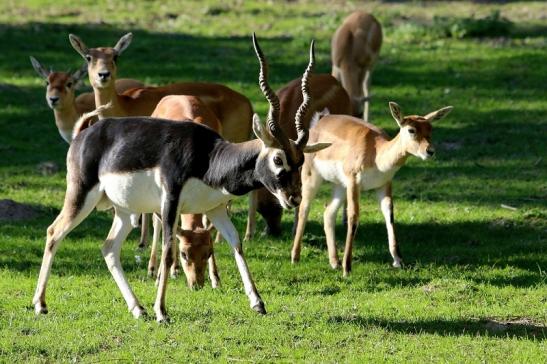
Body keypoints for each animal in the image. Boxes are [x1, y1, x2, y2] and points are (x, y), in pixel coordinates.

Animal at [35, 34, 334, 322]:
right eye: (278, 159)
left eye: (300, 161)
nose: (294, 198)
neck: (209, 159)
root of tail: (82, 135)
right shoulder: (170, 202)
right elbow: (168, 252)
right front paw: (161, 311)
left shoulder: (215, 208)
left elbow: (236, 244)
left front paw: (258, 303)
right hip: (81, 196)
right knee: (53, 232)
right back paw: (40, 305)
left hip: (124, 211)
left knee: (109, 248)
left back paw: (138, 309)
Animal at [244, 73, 352, 240]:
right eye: (261, 208)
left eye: (275, 207)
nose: (274, 231)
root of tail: (336, 82)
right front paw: (248, 236)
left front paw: (295, 230)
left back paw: (345, 221)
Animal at [292, 102, 454, 276]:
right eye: (411, 129)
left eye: (430, 128)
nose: (430, 151)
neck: (376, 153)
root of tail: (321, 121)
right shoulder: (354, 182)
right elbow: (353, 217)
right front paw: (347, 268)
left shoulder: (384, 185)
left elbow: (389, 215)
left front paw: (398, 261)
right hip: (311, 177)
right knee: (304, 209)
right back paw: (295, 257)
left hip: (340, 186)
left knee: (328, 212)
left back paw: (334, 262)